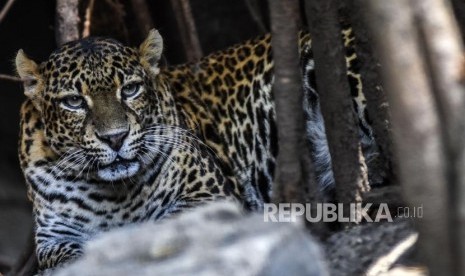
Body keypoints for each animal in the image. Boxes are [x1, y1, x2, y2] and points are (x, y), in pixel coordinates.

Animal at [17, 28, 376, 272]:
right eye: (73, 101)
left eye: (130, 89)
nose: (115, 138)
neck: (114, 194)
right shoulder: (53, 237)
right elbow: (67, 258)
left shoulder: (211, 194)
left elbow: (172, 226)